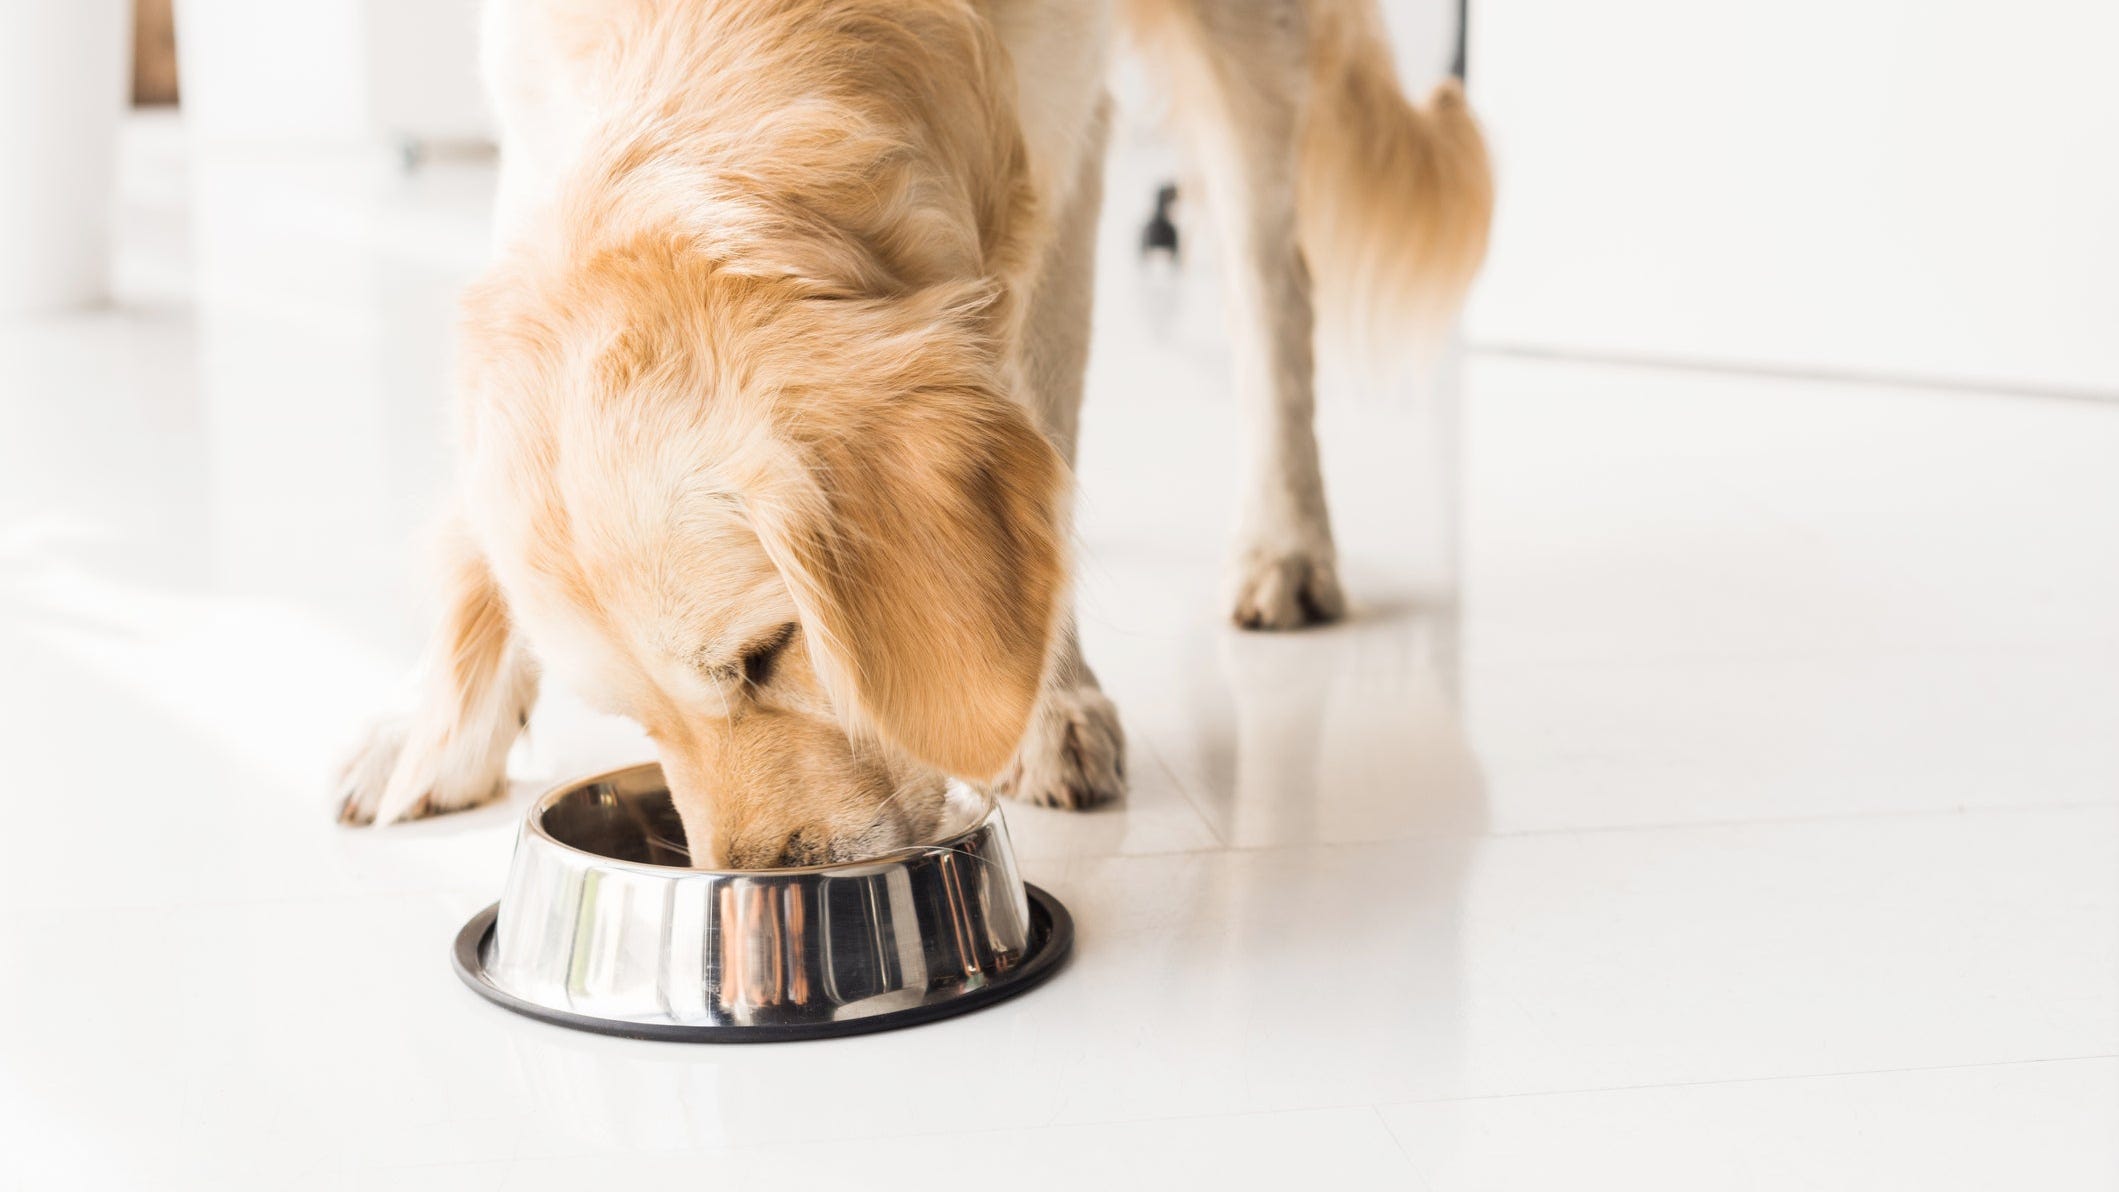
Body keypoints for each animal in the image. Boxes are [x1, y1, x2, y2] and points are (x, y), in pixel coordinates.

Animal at [334, 0, 1491, 863]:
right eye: (634, 719)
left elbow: (1038, 398)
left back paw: (1284, 543)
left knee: (1270, 280)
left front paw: (1046, 704)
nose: (760, 880)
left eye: (766, 654)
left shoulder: (1057, 131)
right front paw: (436, 727)